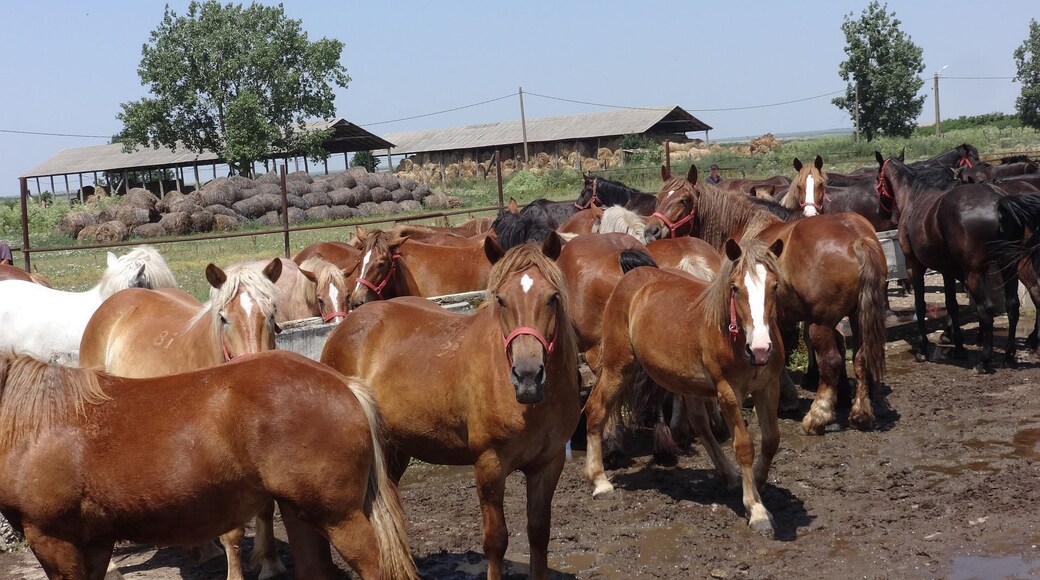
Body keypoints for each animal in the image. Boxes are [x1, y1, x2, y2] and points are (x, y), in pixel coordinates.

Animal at [0, 350, 416, 580]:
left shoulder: (52, 538)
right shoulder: (96, 541)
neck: (35, 424)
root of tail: (344, 384)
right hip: (301, 511)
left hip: (338, 517)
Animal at [583, 238, 785, 534]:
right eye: (735, 288)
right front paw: (757, 509)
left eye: (775, 285)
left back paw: (728, 475)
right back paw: (599, 480)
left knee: (700, 424)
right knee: (596, 409)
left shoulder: (768, 387)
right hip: (617, 365)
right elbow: (744, 447)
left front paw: (757, 483)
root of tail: (632, 278)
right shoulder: (728, 393)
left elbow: (771, 440)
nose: (760, 349)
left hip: (685, 381)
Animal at [645, 165, 888, 435]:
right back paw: (861, 413)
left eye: (684, 200)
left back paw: (817, 416)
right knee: (861, 357)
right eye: (659, 197)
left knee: (832, 362)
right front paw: (787, 397)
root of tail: (857, 238)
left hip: (821, 324)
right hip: (857, 315)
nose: (652, 231)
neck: (740, 228)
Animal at [875, 152, 1040, 372]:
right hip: (1009, 267)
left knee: (987, 308)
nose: (882, 212)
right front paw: (958, 348)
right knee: (1014, 305)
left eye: (878, 179)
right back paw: (1009, 355)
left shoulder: (914, 265)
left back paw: (985, 360)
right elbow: (951, 305)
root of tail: (999, 201)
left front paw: (923, 349)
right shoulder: (947, 269)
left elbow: (920, 305)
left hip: (977, 273)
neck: (914, 198)